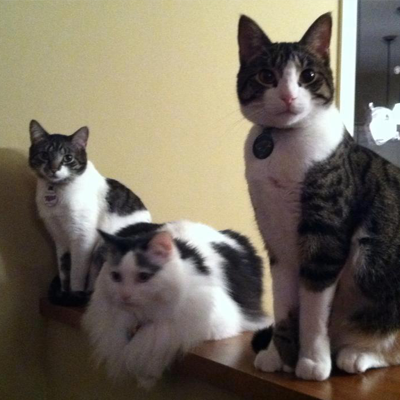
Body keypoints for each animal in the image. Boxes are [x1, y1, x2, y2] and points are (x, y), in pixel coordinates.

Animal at [29, 120, 151, 306]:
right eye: (44, 155)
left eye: (68, 158)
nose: (54, 168)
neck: (58, 191)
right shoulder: (59, 237)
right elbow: (64, 269)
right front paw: (64, 293)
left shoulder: (83, 237)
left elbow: (77, 272)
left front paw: (74, 295)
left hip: (101, 247)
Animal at [83, 220, 271, 388]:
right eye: (115, 276)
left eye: (143, 277)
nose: (124, 295)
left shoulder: (209, 325)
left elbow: (155, 339)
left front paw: (146, 373)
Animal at [237, 12, 400, 381]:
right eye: (266, 76)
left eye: (308, 76)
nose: (287, 96)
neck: (283, 145)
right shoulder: (277, 241)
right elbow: (284, 303)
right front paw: (279, 354)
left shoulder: (324, 237)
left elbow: (312, 307)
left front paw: (311, 361)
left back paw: (357, 354)